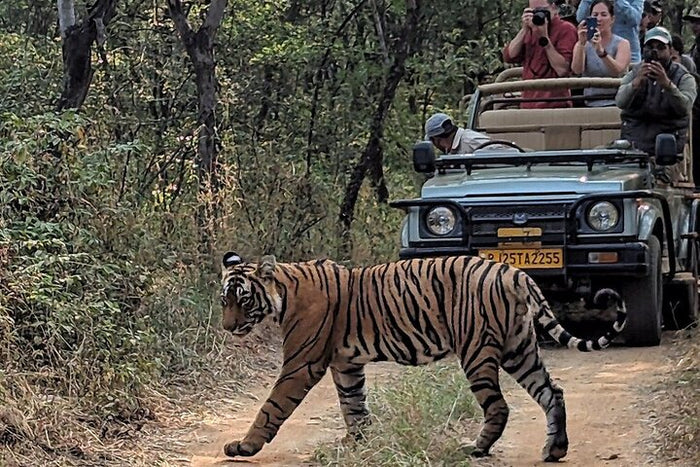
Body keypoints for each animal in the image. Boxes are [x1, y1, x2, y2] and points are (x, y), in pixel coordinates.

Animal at [219, 252, 626, 462]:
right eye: (224, 300)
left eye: (243, 300)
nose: (226, 327)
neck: (283, 294)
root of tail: (515, 273)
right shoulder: (347, 365)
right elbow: (353, 404)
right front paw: (357, 442)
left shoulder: (301, 364)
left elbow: (271, 407)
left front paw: (244, 446)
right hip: (519, 349)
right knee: (551, 391)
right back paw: (554, 449)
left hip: (477, 351)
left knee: (499, 406)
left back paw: (477, 448)